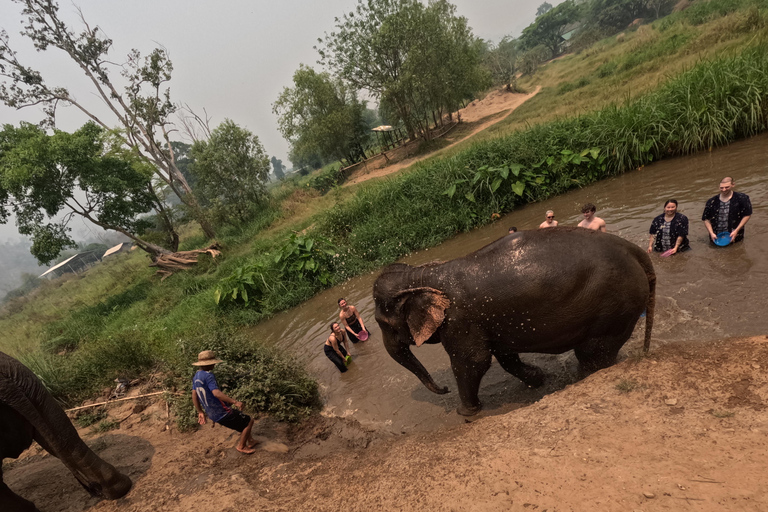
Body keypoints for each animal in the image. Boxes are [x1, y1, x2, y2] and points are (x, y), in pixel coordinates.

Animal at [372, 228, 656, 416]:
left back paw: (582, 377)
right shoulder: (486, 320)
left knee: (592, 354)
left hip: (615, 305)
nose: (444, 389)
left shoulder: (458, 320)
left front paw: (466, 413)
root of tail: (633, 249)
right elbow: (505, 355)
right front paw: (538, 379)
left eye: (382, 323)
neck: (422, 273)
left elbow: (473, 361)